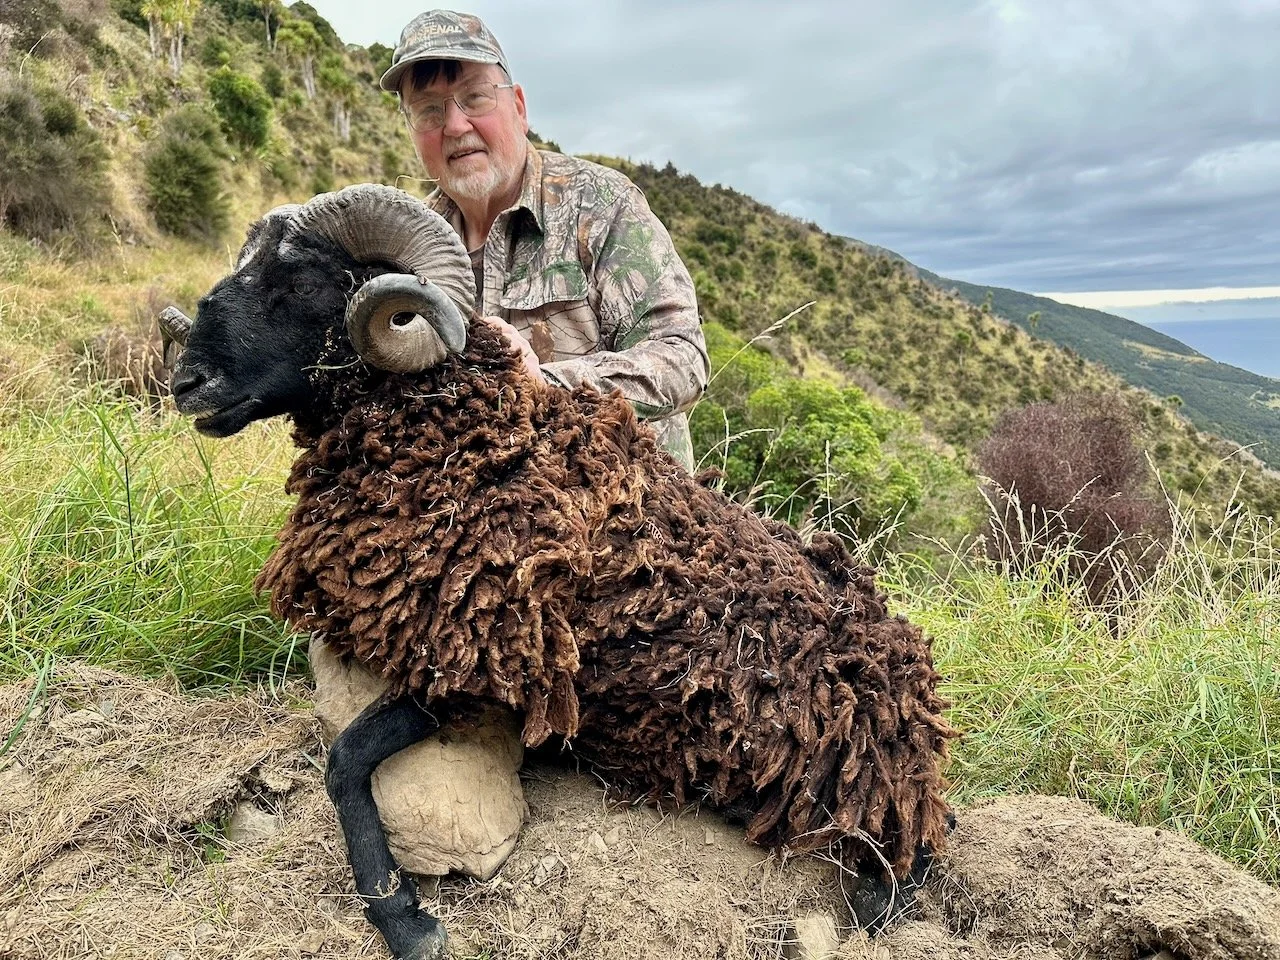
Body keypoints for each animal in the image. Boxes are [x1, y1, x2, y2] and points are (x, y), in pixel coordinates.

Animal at [164, 183, 957, 960]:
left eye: (299, 281)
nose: (187, 381)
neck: (466, 440)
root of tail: (915, 674)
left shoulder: (476, 668)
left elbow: (346, 761)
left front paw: (405, 921)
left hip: (865, 782)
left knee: (917, 850)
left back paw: (868, 904)